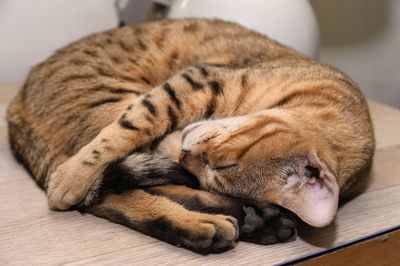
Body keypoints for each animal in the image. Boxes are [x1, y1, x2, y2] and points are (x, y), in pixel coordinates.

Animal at [7, 19, 376, 254]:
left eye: (219, 170)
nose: (186, 152)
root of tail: (16, 104)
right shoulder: (197, 81)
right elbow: (130, 127)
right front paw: (71, 177)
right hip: (110, 98)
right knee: (111, 189)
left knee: (116, 193)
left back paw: (238, 222)